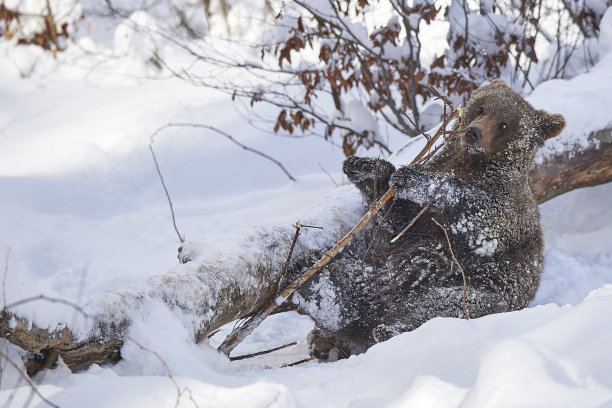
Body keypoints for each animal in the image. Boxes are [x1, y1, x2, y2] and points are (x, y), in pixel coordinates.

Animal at [294, 78, 568, 358]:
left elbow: (481, 217)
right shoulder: (420, 222)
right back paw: (322, 294)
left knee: (442, 305)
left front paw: (413, 178)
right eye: (481, 108)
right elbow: (399, 222)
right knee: (370, 274)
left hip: (476, 287)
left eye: (504, 124)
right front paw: (366, 167)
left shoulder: (507, 210)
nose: (473, 132)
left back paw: (380, 324)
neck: (470, 163)